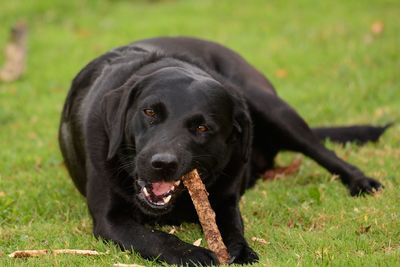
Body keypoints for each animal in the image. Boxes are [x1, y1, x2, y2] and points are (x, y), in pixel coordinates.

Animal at [57, 36, 390, 266]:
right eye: (149, 112)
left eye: (202, 127)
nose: (162, 163)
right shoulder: (110, 219)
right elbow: (154, 238)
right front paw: (195, 255)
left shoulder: (227, 200)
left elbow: (233, 227)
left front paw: (240, 250)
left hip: (269, 105)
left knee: (323, 151)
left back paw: (361, 181)